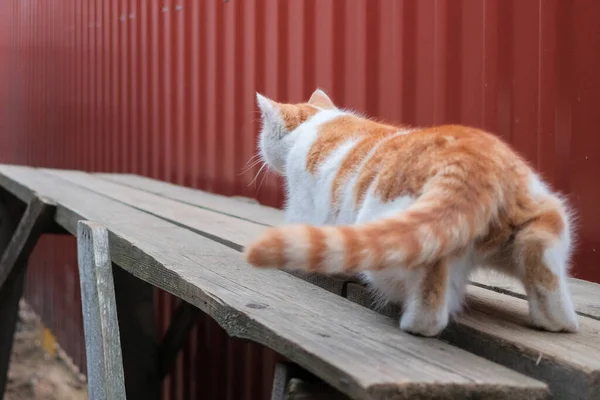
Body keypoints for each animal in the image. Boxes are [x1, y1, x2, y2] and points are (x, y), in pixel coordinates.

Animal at [241, 89, 580, 336]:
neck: (317, 123)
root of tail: (470, 159)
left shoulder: (303, 203)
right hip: (542, 219)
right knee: (540, 254)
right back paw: (556, 321)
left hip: (393, 236)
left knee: (429, 275)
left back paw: (417, 324)